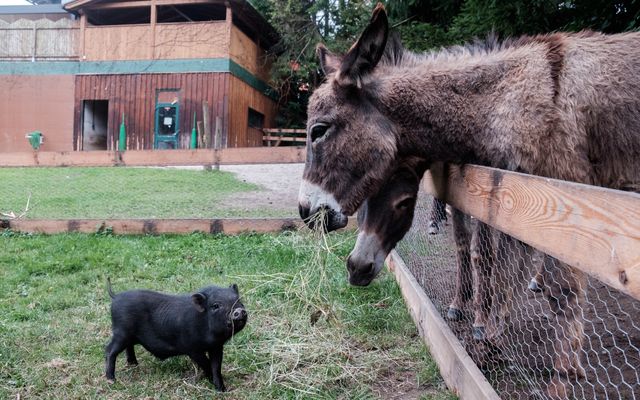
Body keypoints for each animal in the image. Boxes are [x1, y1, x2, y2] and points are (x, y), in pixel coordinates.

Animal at [104, 278, 246, 390]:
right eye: (216, 306)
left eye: (239, 300)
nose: (239, 310)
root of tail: (116, 297)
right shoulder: (191, 348)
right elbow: (206, 363)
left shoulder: (216, 347)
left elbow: (216, 366)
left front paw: (222, 390)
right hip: (121, 332)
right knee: (109, 350)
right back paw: (111, 380)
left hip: (128, 335)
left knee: (128, 347)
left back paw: (134, 364)